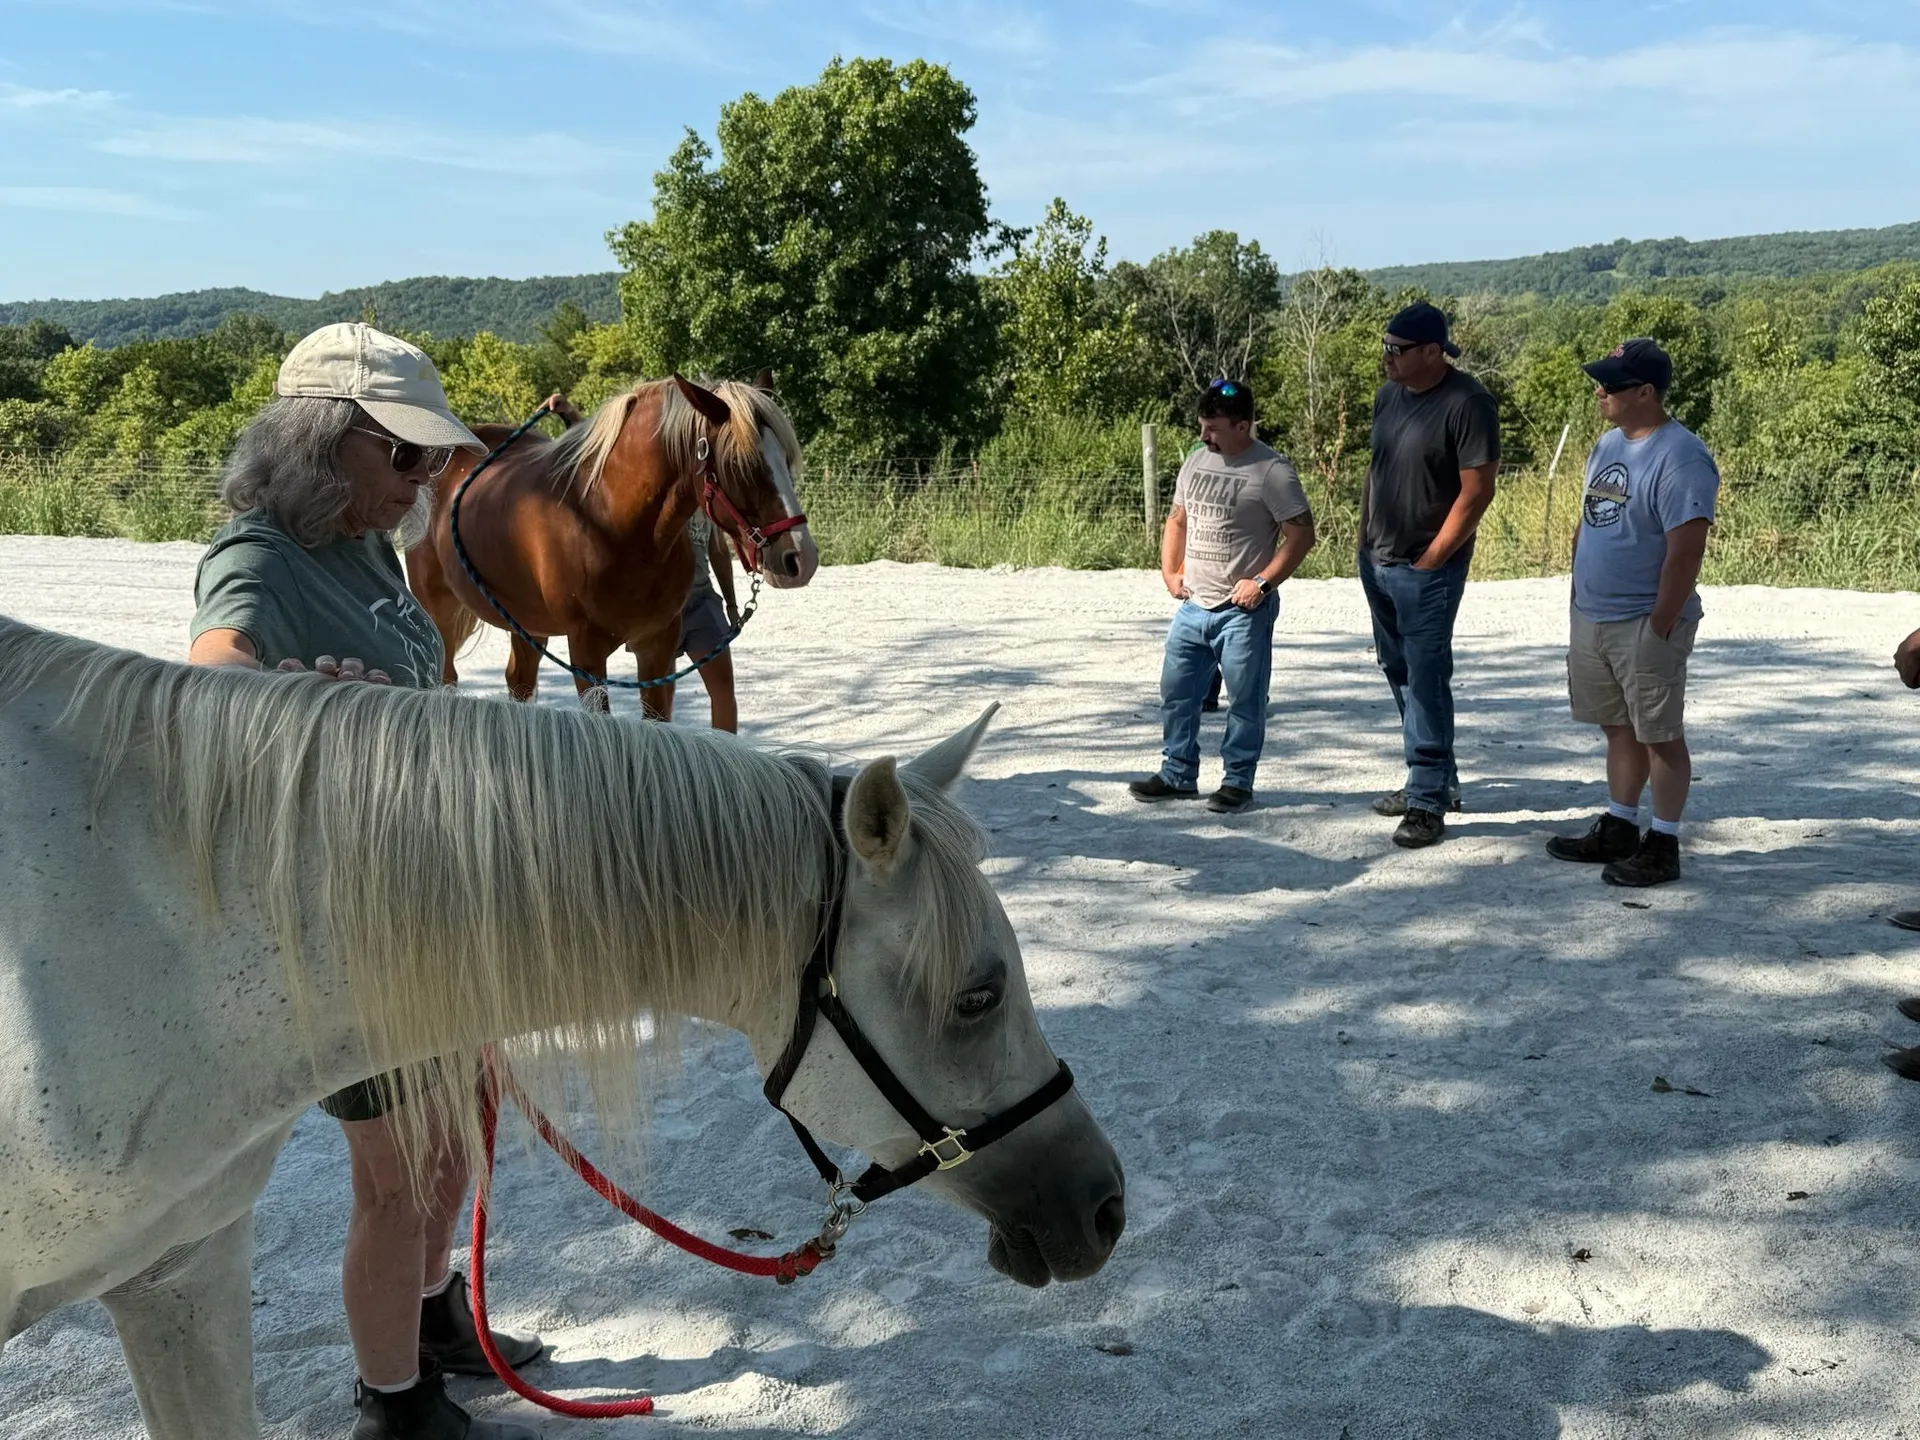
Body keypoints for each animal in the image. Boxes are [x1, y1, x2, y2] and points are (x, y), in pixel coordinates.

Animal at [405, 372, 820, 718]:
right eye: (741, 464)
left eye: (785, 458)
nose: (800, 558)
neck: (606, 519)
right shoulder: (586, 654)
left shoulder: (657, 648)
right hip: (440, 615)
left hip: (526, 625)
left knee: (519, 682)